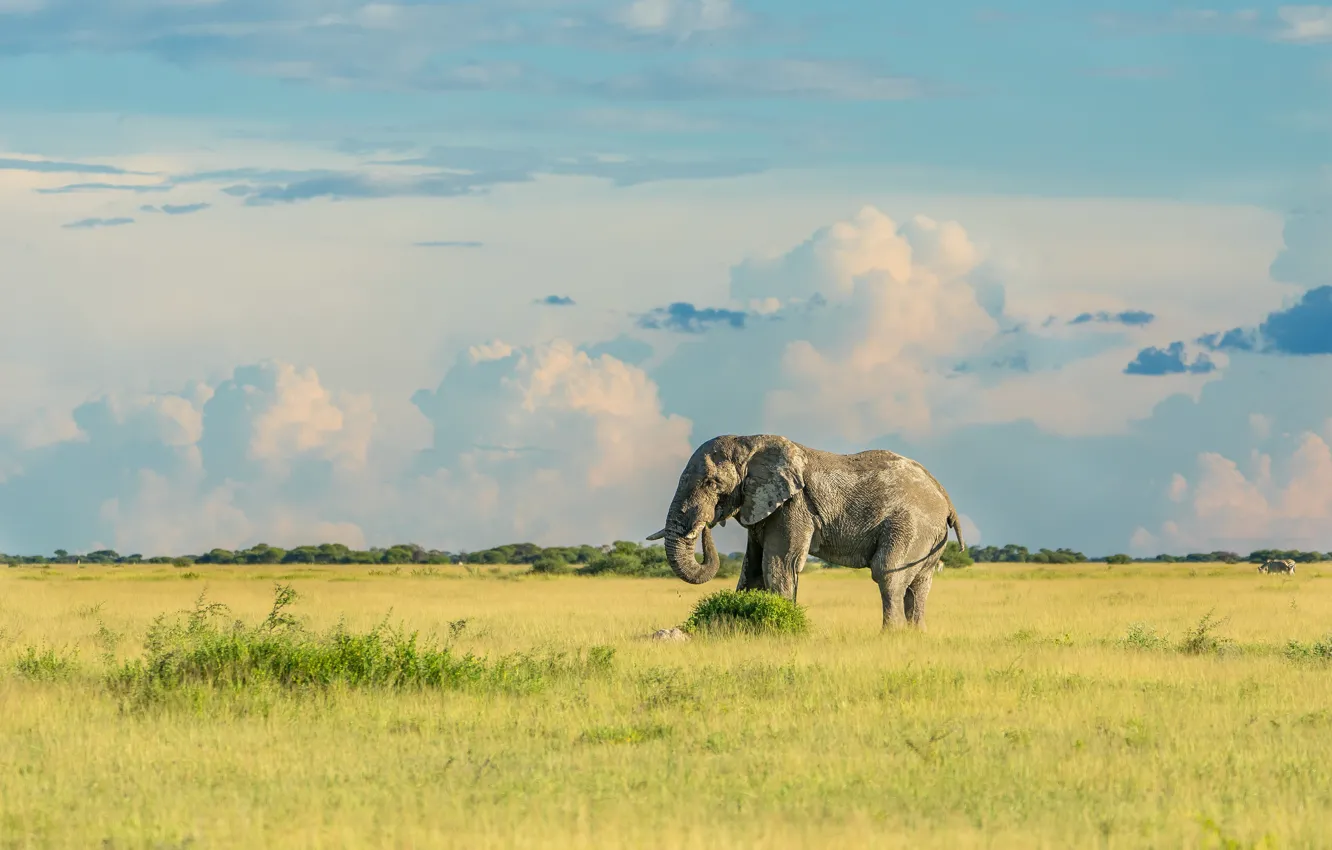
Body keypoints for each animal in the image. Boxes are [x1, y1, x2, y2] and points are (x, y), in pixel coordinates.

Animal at [650, 436, 964, 628]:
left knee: (887, 574)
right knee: (920, 585)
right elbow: (752, 568)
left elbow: (778, 564)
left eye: (712, 484)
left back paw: (891, 635)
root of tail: (945, 496)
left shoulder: (794, 506)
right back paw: (915, 634)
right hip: (931, 537)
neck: (749, 442)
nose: (705, 527)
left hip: (911, 525)